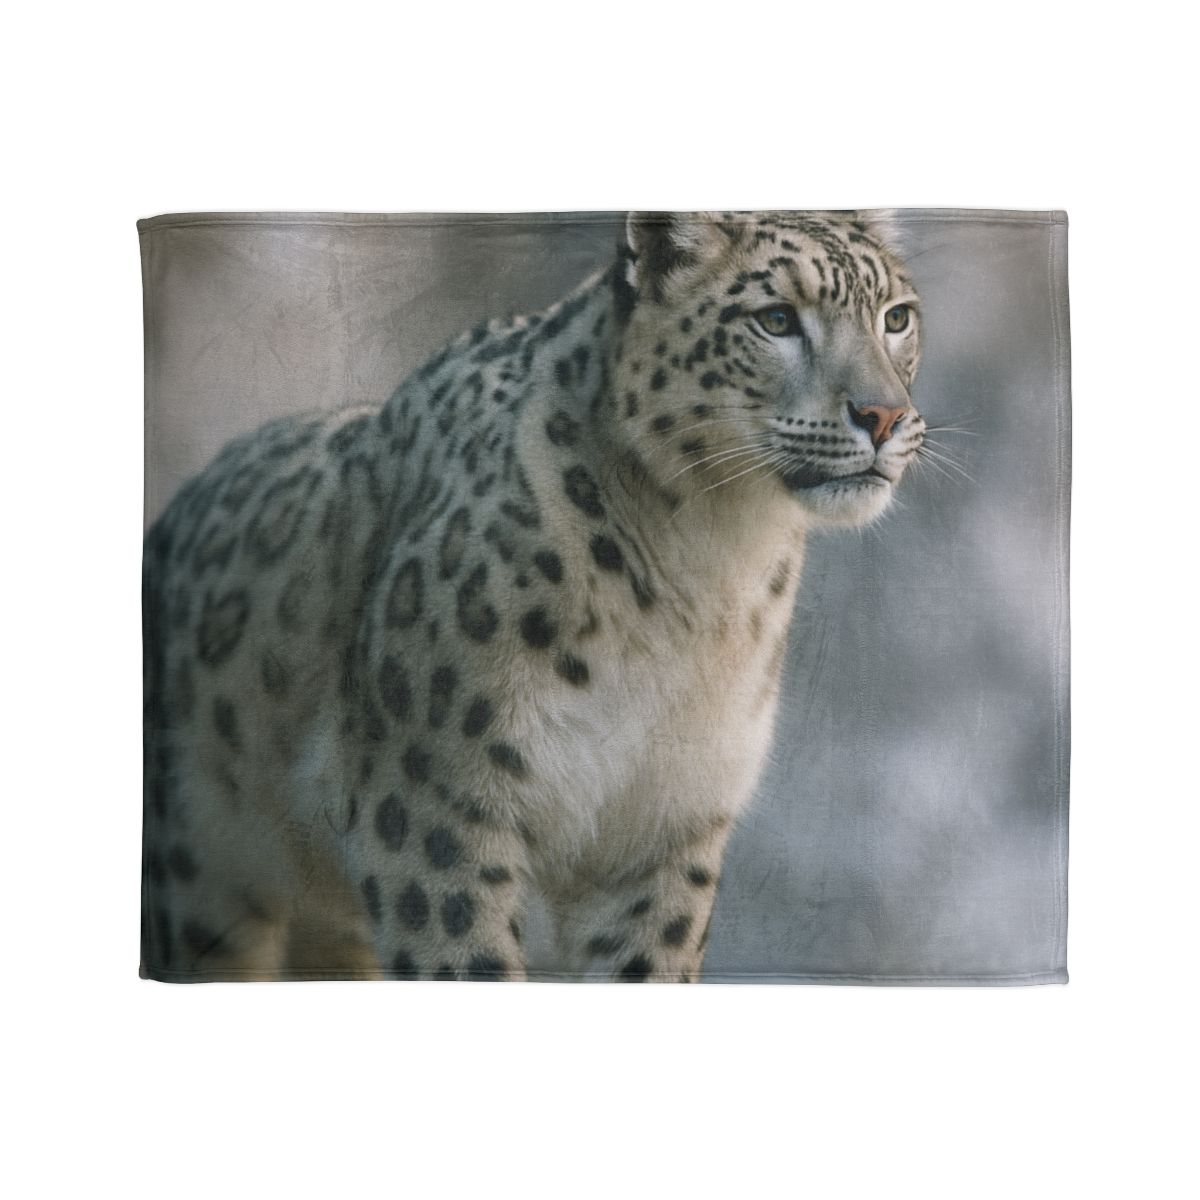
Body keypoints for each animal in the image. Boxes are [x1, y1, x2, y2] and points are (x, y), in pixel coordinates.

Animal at [141, 210, 925, 982]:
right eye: (775, 319)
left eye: (896, 317)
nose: (883, 416)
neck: (710, 561)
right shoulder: (432, 803)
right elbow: (468, 959)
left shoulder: (668, 825)